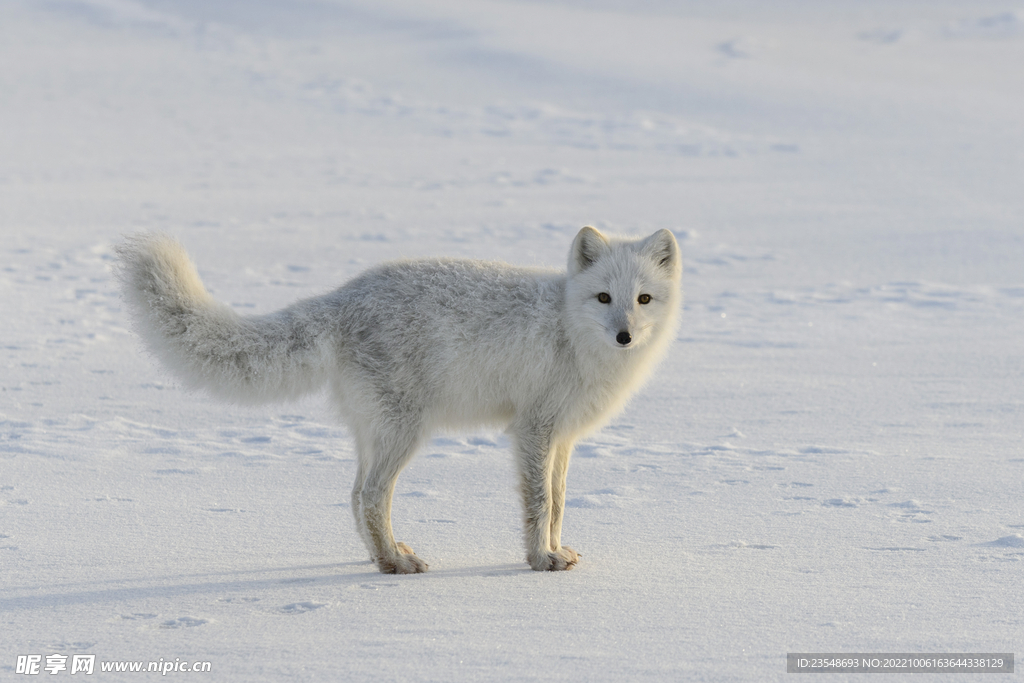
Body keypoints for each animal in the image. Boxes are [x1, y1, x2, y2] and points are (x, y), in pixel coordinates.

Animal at [114, 228, 679, 573]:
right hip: (404, 432)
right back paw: (395, 565)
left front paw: (557, 550)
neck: (569, 329)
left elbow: (558, 501)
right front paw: (540, 560)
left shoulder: (561, 436)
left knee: (354, 495)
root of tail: (345, 294)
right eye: (603, 298)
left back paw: (383, 558)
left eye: (643, 299)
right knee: (369, 497)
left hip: (376, 433)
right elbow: (539, 503)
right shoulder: (533, 431)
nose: (625, 336)